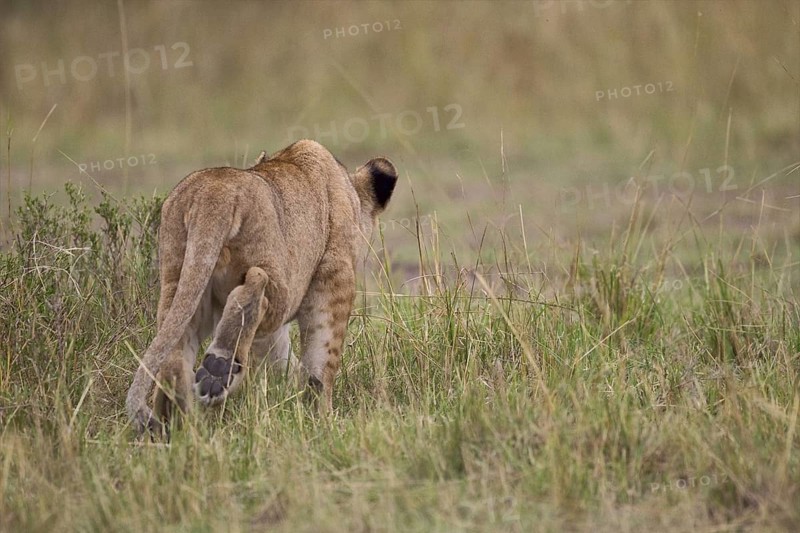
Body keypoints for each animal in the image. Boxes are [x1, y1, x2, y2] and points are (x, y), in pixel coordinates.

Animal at [125, 140, 398, 435]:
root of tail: (212, 194)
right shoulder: (334, 277)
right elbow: (322, 359)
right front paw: (322, 418)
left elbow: (279, 357)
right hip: (276, 280)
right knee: (258, 287)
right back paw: (218, 371)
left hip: (181, 280)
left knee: (175, 354)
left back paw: (178, 425)